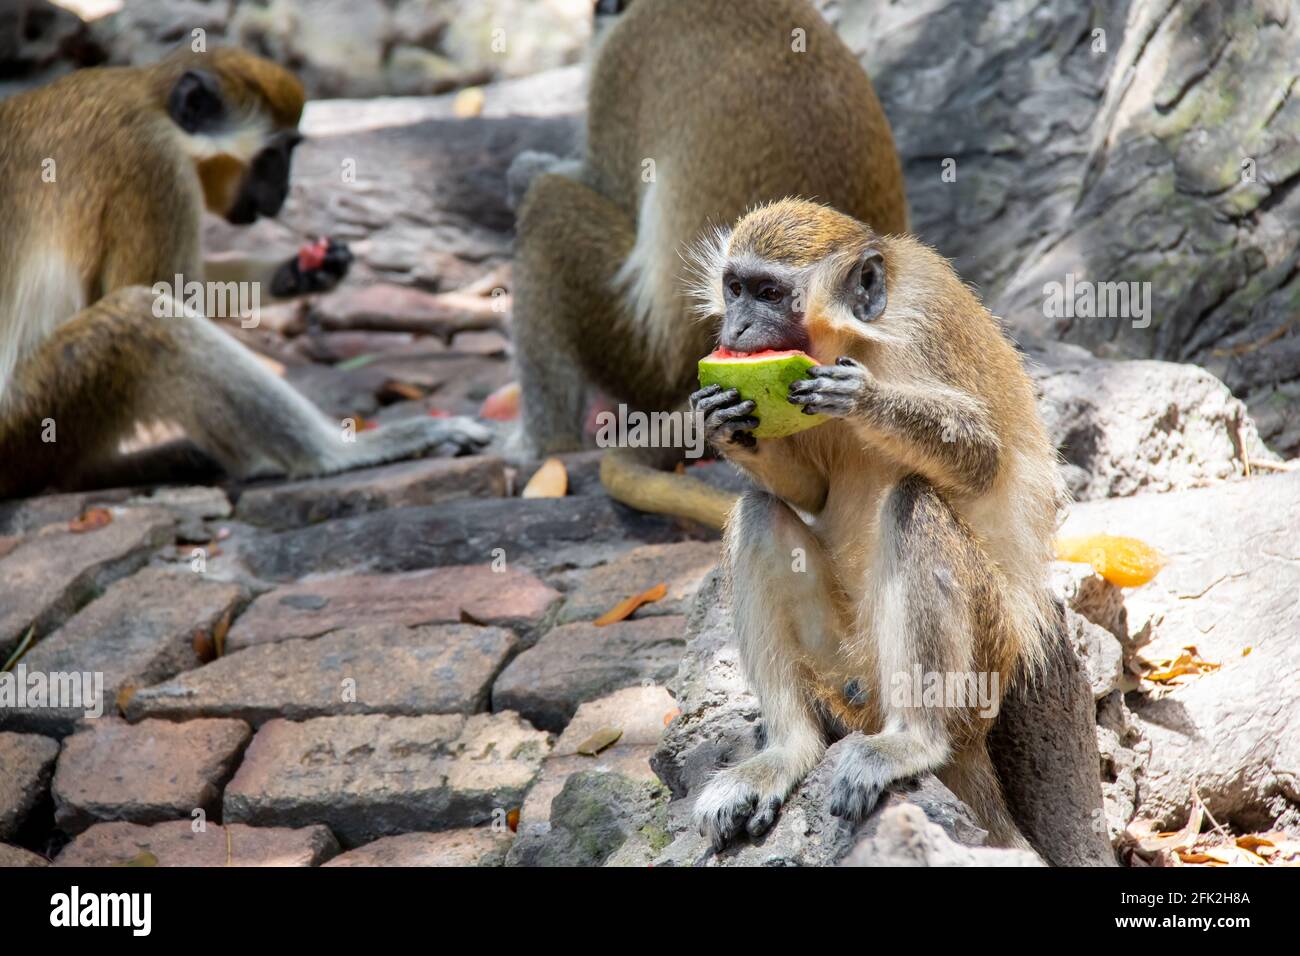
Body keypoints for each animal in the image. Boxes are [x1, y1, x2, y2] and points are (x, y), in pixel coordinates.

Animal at [512, 0, 909, 476]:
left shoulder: (624, 55)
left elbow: (601, 184)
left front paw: (528, 169)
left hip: (646, 358)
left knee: (548, 205)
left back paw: (548, 447)